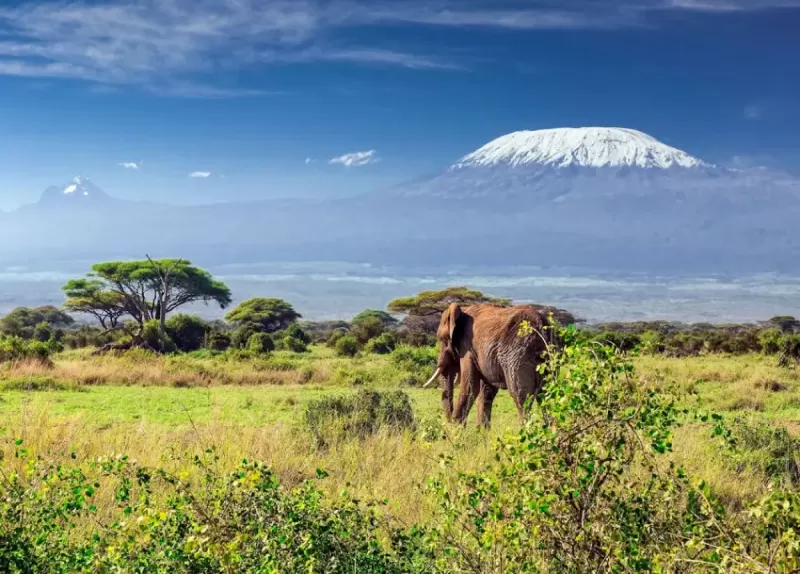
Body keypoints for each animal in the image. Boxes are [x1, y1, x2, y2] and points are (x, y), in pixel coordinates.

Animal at [423, 303, 558, 428]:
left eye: (442, 340)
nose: (449, 422)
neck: (463, 310)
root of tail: (541, 327)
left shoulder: (467, 348)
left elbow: (471, 387)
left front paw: (457, 431)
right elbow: (487, 391)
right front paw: (481, 433)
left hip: (518, 356)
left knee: (521, 397)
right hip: (550, 356)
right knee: (549, 394)